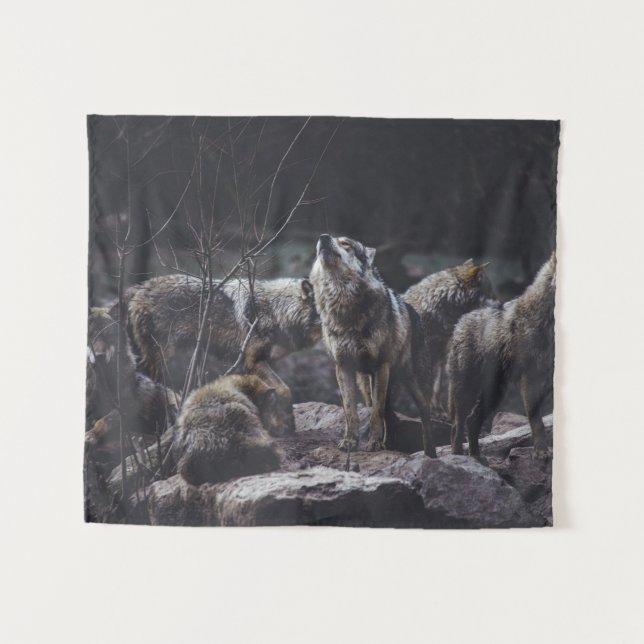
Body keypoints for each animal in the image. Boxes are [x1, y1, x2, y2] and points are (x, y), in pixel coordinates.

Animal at [309, 234, 436, 456]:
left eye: (346, 244)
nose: (323, 238)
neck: (344, 308)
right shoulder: (343, 367)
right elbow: (350, 411)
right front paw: (350, 441)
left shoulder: (380, 366)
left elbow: (376, 412)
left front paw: (374, 443)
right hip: (367, 384)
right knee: (388, 414)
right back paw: (390, 444)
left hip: (414, 384)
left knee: (423, 417)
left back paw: (430, 454)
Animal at [447, 252, 556, 458]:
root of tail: (460, 322)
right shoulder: (530, 377)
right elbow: (536, 420)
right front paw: (541, 452)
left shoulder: (547, 381)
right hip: (467, 391)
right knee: (458, 425)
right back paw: (459, 457)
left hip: (494, 394)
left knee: (472, 420)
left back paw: (477, 458)